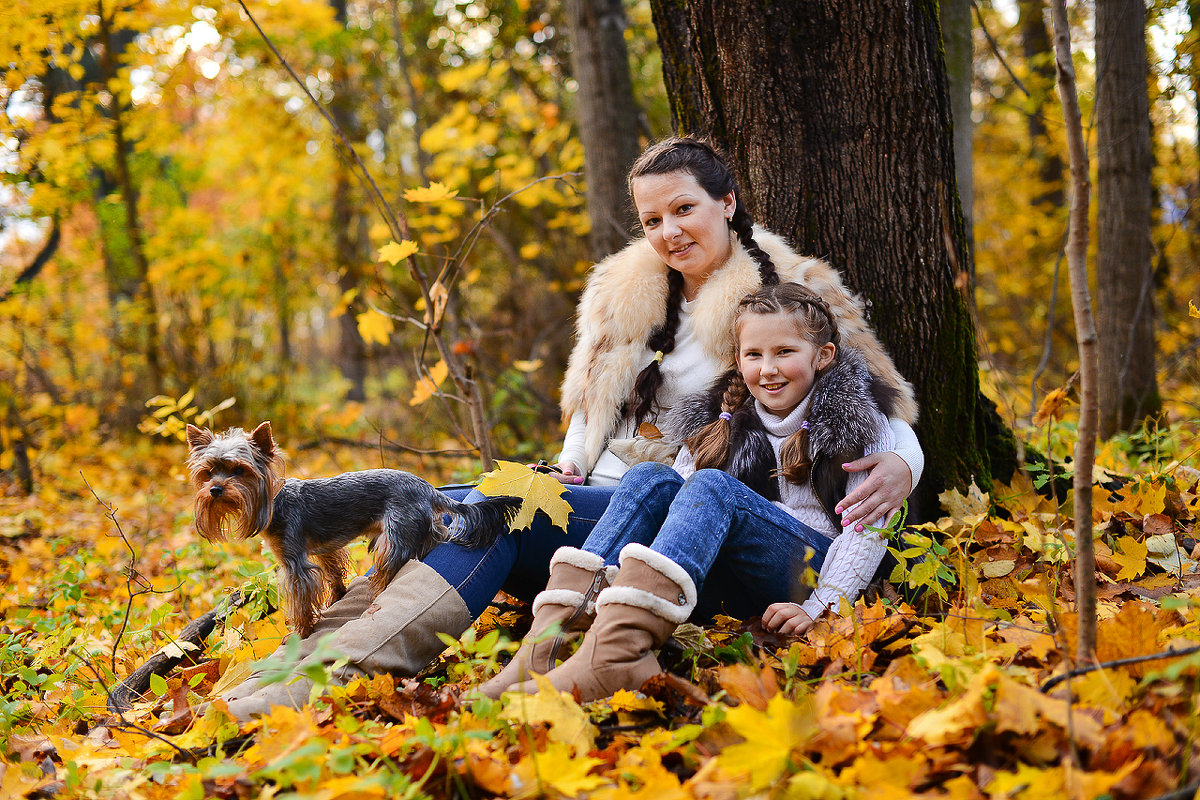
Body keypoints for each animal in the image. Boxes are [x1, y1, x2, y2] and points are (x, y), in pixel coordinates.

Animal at [186, 422, 520, 633]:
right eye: (208, 472)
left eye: (240, 471)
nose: (215, 490)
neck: (274, 502)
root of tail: (428, 489)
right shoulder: (323, 548)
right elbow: (333, 573)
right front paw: (337, 596)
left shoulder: (294, 562)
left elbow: (301, 599)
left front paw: (303, 629)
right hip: (422, 527)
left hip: (394, 536)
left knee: (390, 567)